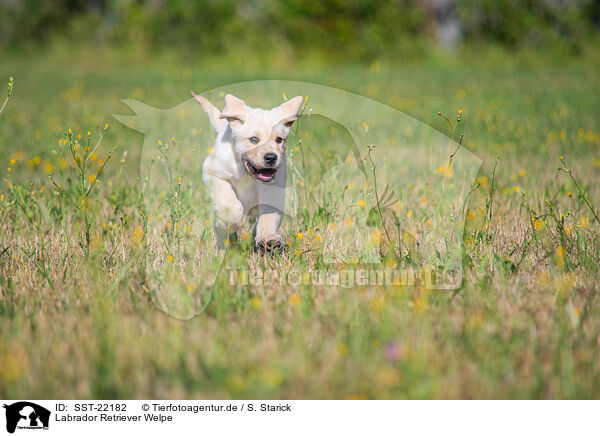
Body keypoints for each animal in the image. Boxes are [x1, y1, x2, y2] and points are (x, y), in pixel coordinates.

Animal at [192, 93, 304, 252]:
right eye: (253, 139)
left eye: (279, 140)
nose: (271, 157)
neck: (246, 172)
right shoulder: (213, 173)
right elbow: (228, 203)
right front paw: (231, 222)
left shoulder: (273, 189)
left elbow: (269, 216)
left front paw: (268, 238)